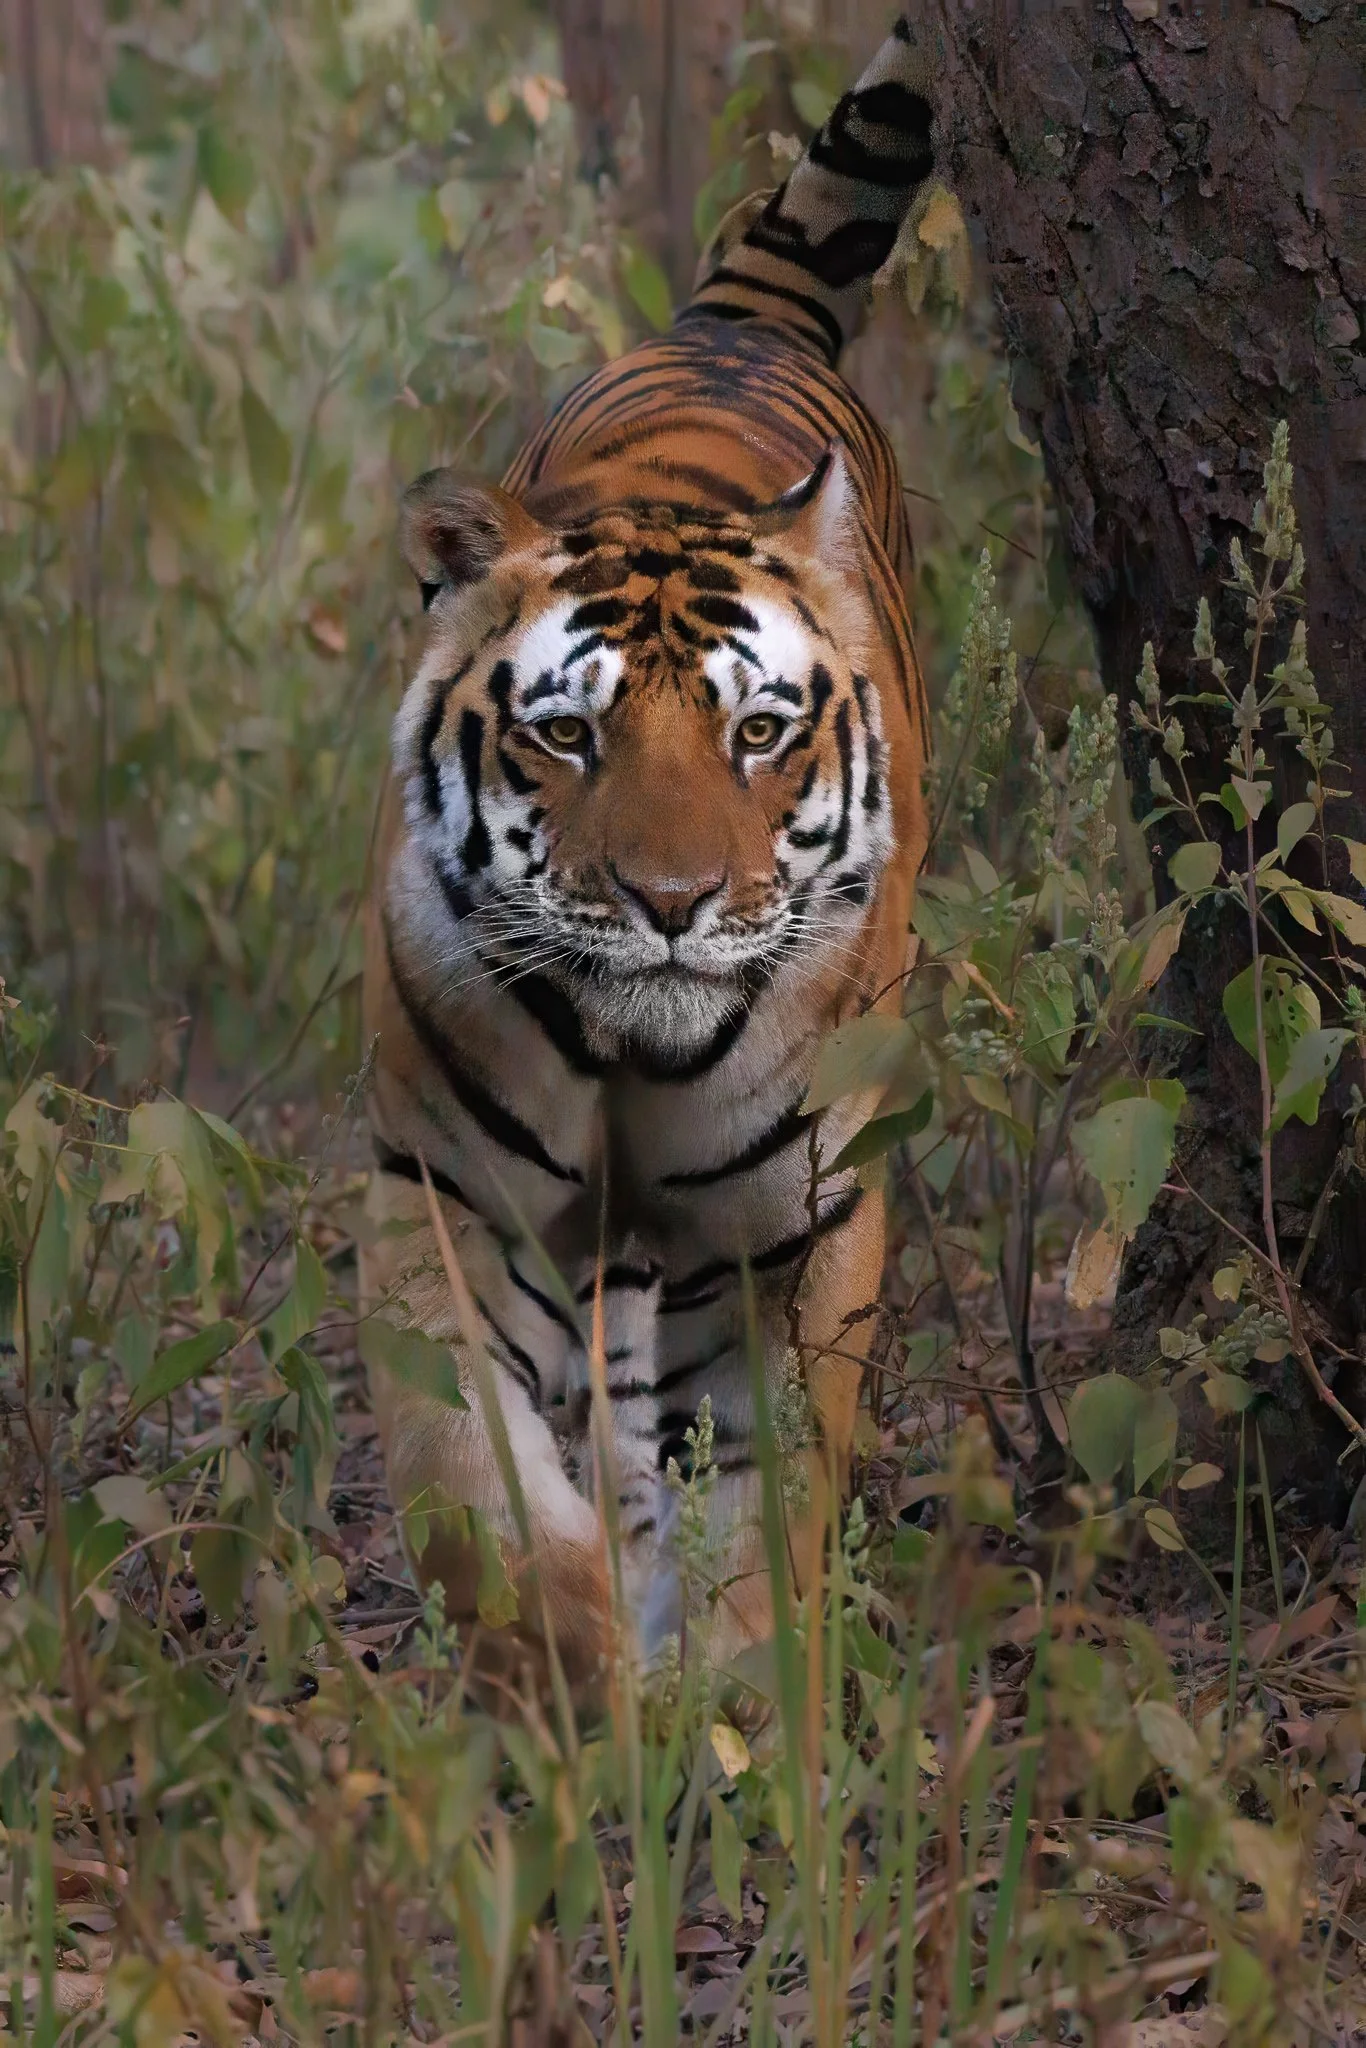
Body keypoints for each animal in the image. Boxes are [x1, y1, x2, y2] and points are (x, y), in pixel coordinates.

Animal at [360, 13, 937, 1706]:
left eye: (757, 734)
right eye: (567, 736)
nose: (670, 906)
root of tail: (734, 326)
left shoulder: (796, 1226)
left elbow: (772, 1489)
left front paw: (734, 1696)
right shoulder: (444, 1192)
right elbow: (464, 1474)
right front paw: (572, 1667)